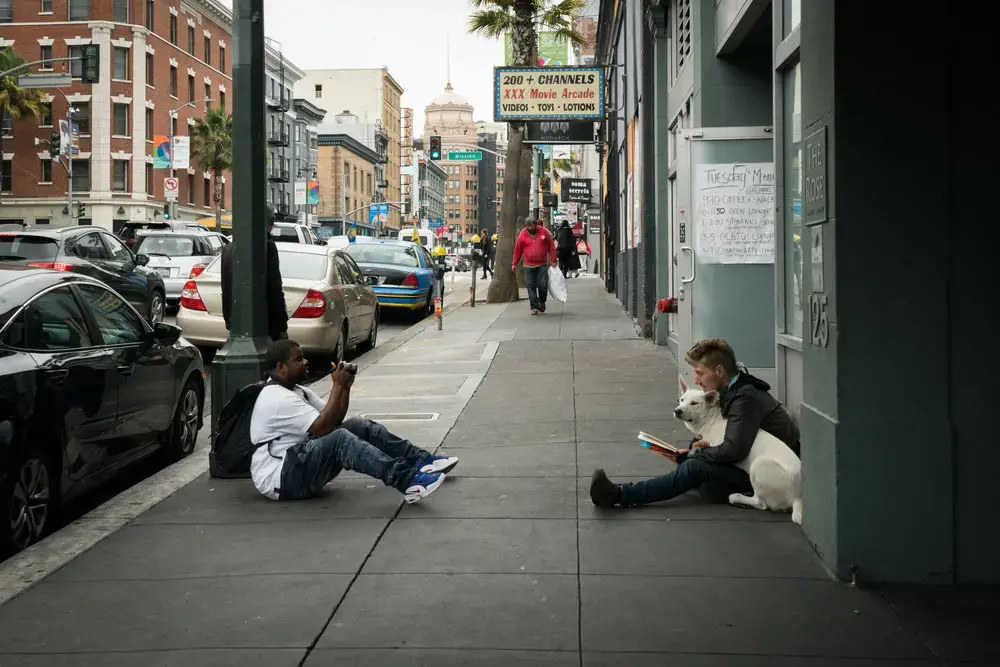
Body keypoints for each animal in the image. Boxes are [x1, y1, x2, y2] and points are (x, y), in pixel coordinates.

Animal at [672, 384, 804, 524]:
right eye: (682, 400)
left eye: (694, 403)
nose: (677, 411)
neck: (711, 420)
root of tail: (798, 497)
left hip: (759, 464)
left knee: (761, 503)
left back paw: (737, 497)